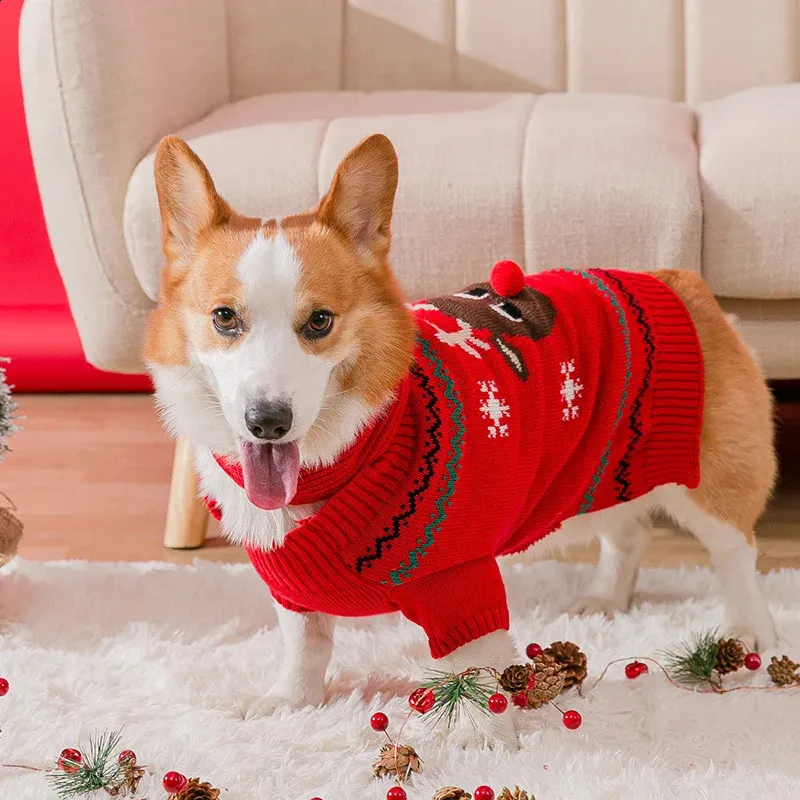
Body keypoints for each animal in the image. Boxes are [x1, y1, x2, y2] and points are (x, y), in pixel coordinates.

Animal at [144, 133, 776, 752]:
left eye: (320, 321)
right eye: (224, 318)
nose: (268, 422)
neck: (348, 453)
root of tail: (676, 279)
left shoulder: (461, 582)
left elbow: (476, 668)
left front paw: (487, 739)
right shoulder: (293, 593)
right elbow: (306, 645)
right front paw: (291, 703)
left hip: (708, 481)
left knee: (735, 552)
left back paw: (748, 632)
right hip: (595, 474)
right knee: (629, 533)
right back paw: (604, 601)